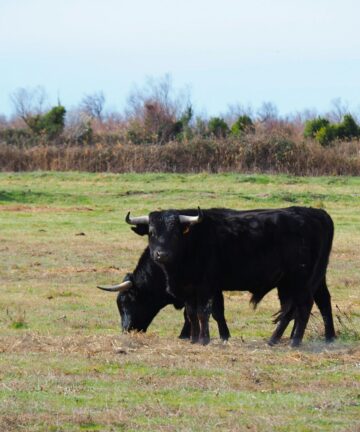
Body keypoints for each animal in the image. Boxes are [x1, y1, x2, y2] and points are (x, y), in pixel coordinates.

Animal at [125, 207, 336, 348]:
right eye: (151, 232)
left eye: (175, 232)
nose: (161, 254)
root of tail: (316, 213)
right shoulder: (190, 289)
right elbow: (194, 313)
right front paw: (194, 338)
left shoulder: (206, 286)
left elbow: (204, 312)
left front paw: (205, 339)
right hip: (295, 282)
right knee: (299, 307)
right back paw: (278, 339)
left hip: (300, 280)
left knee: (303, 306)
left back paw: (295, 341)